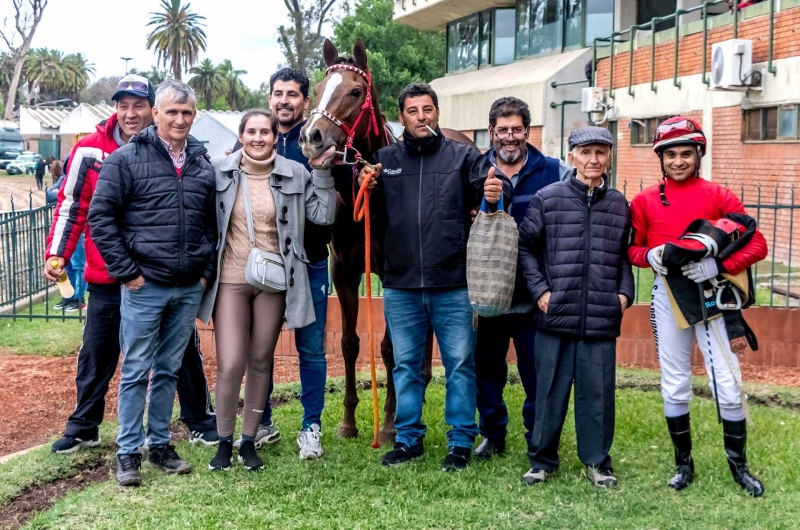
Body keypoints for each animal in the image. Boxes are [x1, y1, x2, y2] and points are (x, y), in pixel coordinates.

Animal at [300, 39, 476, 440]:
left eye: (355, 91)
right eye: (318, 89)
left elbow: (392, 348)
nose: (312, 137)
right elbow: (350, 343)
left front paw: (393, 421)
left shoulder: (398, 275)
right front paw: (348, 422)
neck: (369, 192)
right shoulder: (344, 270)